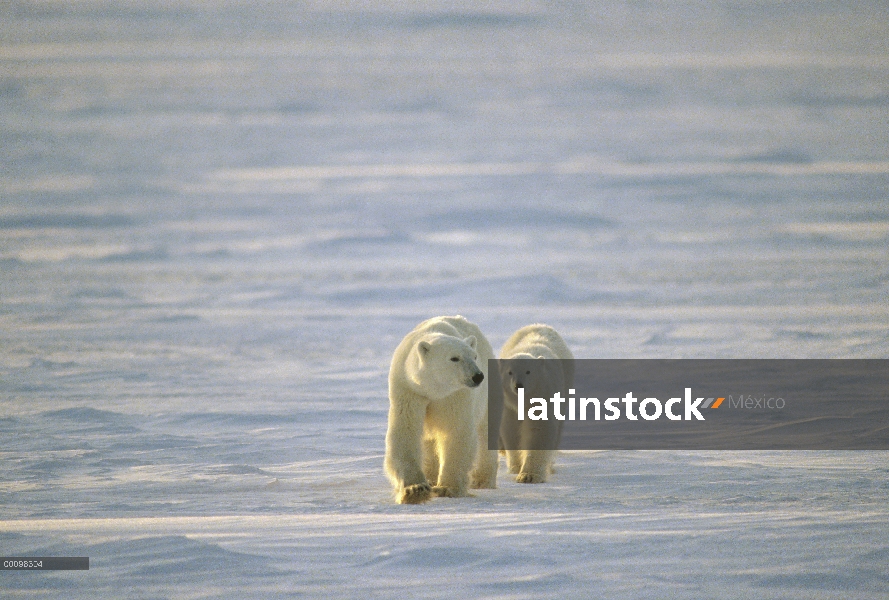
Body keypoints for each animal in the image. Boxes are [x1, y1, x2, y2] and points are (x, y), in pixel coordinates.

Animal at [386, 316, 500, 504]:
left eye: (474, 356)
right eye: (454, 358)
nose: (478, 376)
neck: (433, 390)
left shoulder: (455, 395)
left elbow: (456, 431)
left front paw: (447, 488)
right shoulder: (408, 389)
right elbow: (406, 430)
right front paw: (415, 489)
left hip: (487, 395)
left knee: (485, 432)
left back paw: (482, 480)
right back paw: (430, 477)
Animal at [496, 324, 572, 482]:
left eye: (528, 371)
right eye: (509, 372)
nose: (518, 385)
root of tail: (540, 325)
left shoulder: (544, 396)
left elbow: (539, 430)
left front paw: (528, 475)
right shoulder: (509, 406)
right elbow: (511, 430)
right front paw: (516, 467)